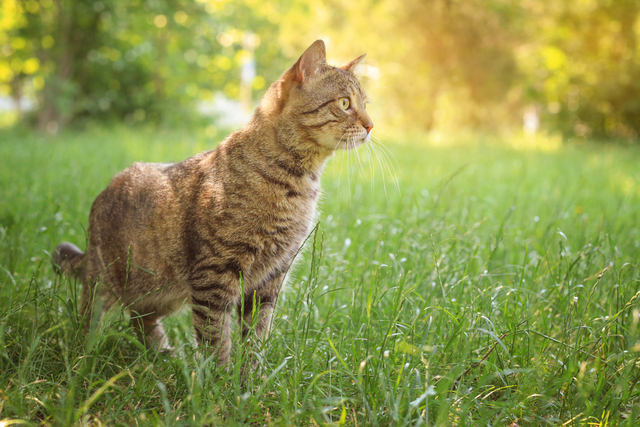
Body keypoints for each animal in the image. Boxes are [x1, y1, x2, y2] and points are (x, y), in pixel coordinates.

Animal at [53, 39, 376, 368]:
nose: (371, 125)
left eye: (365, 104)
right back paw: (86, 356)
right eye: (345, 103)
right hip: (106, 284)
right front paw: (219, 378)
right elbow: (216, 339)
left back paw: (163, 356)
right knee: (90, 321)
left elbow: (256, 336)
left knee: (141, 318)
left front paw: (251, 377)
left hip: (163, 292)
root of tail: (104, 191)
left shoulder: (271, 277)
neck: (297, 182)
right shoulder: (215, 276)